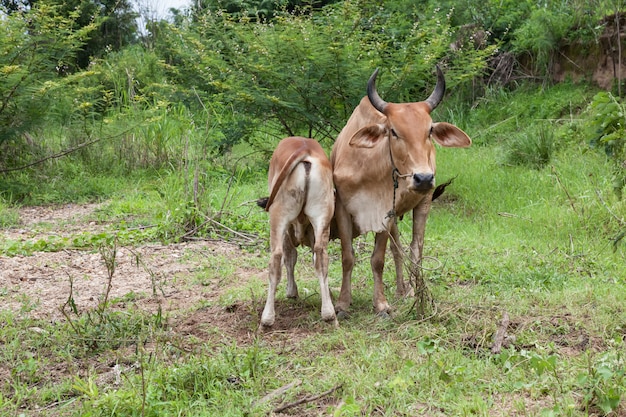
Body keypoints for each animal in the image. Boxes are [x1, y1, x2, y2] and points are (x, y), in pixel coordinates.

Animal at [255, 136, 336, 328]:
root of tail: (305, 148)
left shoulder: (286, 232)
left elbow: (290, 258)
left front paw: (291, 291)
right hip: (323, 214)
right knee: (321, 255)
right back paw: (329, 313)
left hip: (278, 216)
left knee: (276, 258)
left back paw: (267, 319)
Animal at [332, 66, 468, 316]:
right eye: (393, 131)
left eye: (429, 130)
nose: (423, 178)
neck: (368, 167)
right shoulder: (343, 209)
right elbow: (348, 257)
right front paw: (343, 303)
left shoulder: (384, 213)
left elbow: (378, 259)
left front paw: (381, 304)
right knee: (398, 250)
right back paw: (402, 289)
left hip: (423, 203)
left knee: (414, 249)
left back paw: (412, 291)